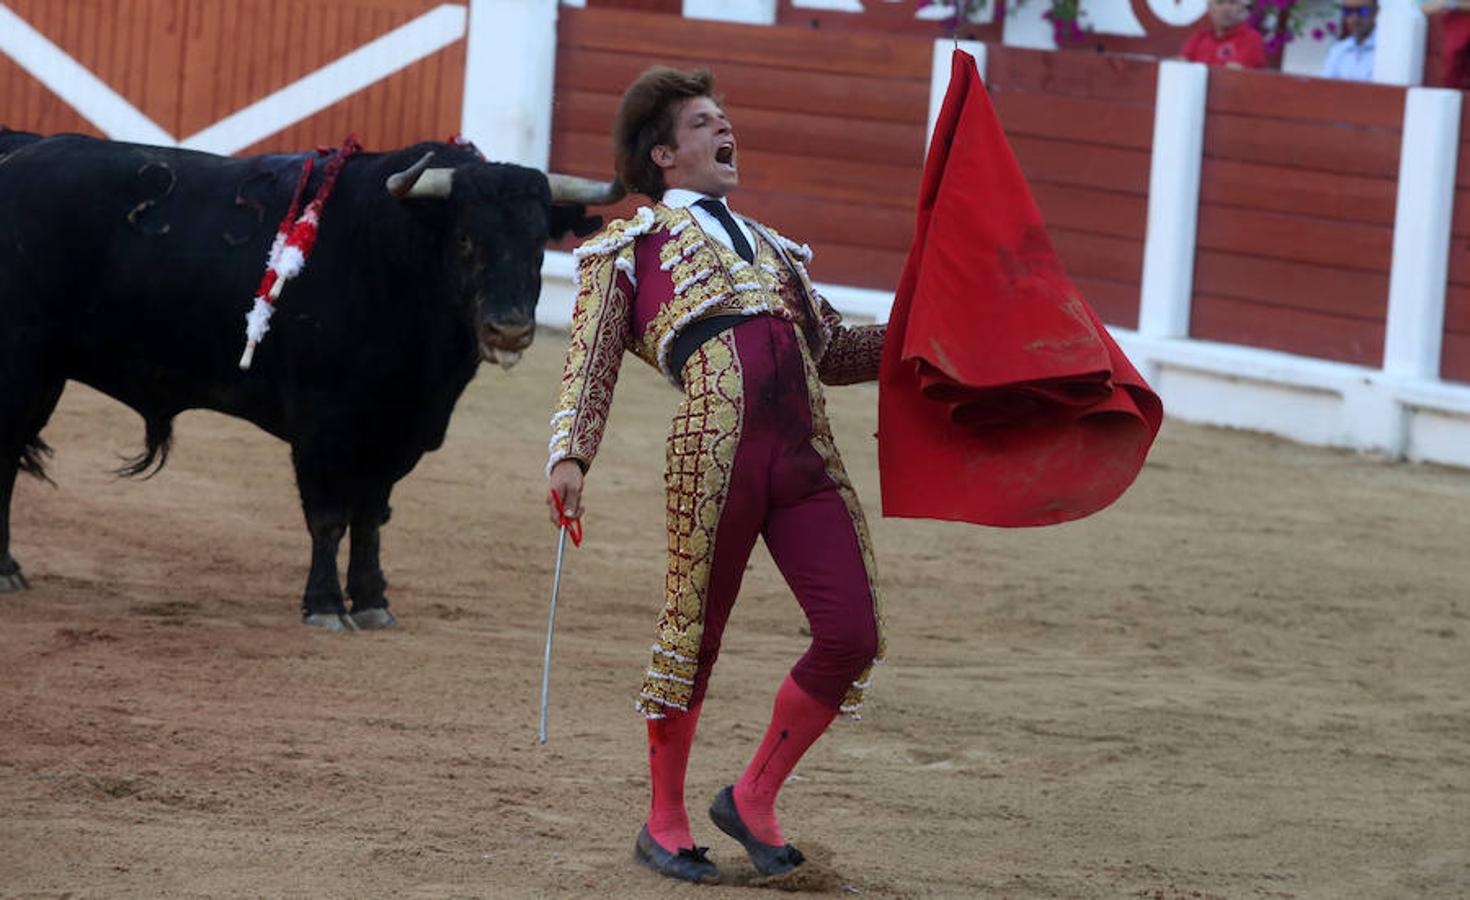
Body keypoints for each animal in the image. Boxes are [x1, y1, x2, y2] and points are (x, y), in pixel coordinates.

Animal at [0, 131, 617, 626]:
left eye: (538, 242)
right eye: (465, 238)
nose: (509, 329)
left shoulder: (396, 430)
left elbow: (369, 517)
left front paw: (371, 602)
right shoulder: (323, 424)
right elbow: (328, 516)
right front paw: (323, 605)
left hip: (45, 373)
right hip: (22, 365)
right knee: (6, 460)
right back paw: (7, 570)